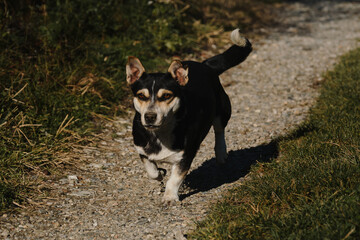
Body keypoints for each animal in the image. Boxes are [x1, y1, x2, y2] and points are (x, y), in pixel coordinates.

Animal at [125, 28, 252, 202]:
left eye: (166, 96)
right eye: (141, 96)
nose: (150, 117)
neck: (159, 134)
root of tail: (205, 65)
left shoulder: (186, 155)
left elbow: (175, 178)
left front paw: (170, 197)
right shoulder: (141, 150)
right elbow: (151, 170)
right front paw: (159, 173)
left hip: (223, 108)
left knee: (219, 130)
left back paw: (221, 153)